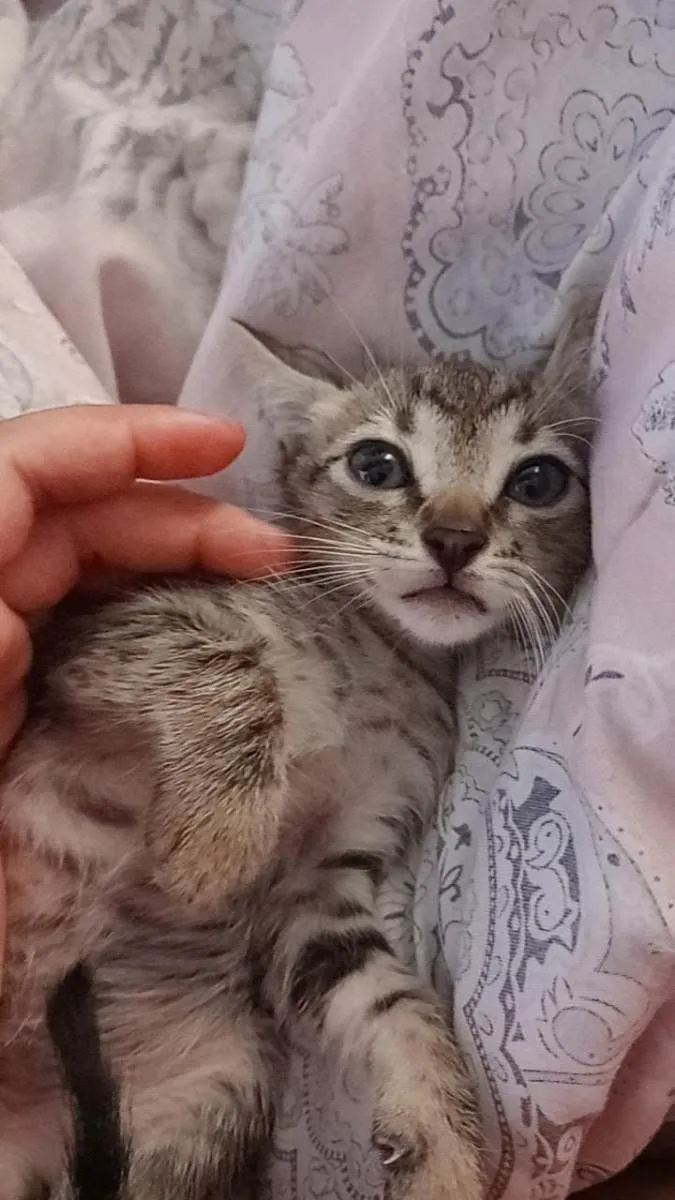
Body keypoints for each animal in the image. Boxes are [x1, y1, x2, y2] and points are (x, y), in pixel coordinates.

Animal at [0, 316, 590, 1200]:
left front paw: (444, 1141)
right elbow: (236, 666)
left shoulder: (322, 877)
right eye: (376, 465)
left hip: (206, 1097)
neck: (376, 660)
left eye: (538, 480)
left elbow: (395, 1003)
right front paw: (213, 845)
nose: (454, 539)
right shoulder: (110, 636)